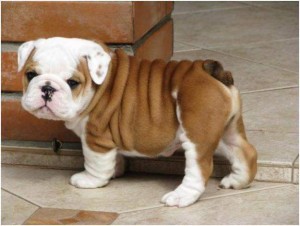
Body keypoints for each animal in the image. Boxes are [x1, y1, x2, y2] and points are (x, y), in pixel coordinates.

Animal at [19, 37, 258, 208]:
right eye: (30, 75)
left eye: (72, 82)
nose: (47, 88)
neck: (100, 84)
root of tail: (209, 70)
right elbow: (113, 159)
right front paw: (116, 170)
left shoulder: (96, 137)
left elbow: (95, 163)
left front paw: (90, 180)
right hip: (227, 130)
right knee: (244, 151)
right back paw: (237, 181)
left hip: (197, 133)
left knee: (199, 168)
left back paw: (180, 197)